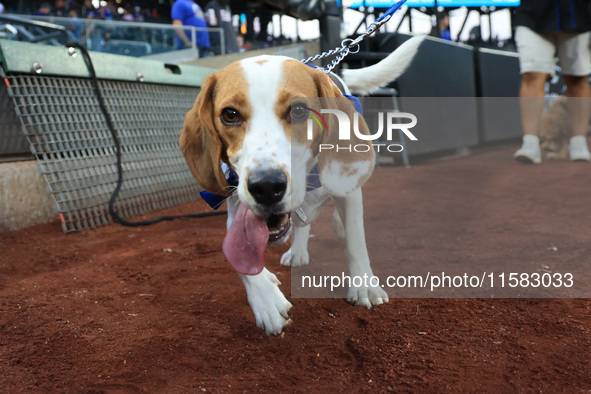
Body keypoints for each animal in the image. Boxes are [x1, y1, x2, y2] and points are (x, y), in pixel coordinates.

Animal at [182, 36, 426, 336]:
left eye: (298, 110)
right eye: (229, 114)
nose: (266, 186)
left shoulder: (348, 192)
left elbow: (356, 241)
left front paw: (364, 286)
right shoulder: (235, 205)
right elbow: (238, 256)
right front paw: (266, 298)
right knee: (302, 225)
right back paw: (298, 250)